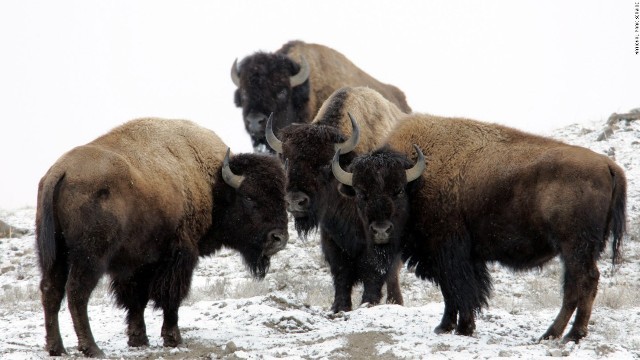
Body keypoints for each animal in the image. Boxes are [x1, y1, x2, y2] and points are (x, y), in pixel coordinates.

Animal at [36, 118, 292, 358]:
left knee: (51, 291)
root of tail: (61, 172)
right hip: (90, 258)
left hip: (55, 255)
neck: (212, 183)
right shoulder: (179, 256)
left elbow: (136, 300)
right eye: (249, 198)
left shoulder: (136, 264)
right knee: (76, 294)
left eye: (282, 195)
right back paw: (92, 348)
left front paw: (138, 339)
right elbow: (171, 298)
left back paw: (56, 348)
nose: (278, 238)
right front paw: (173, 339)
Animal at [268, 86, 408, 312]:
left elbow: (373, 270)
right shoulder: (331, 237)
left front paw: (367, 302)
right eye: (287, 160)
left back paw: (396, 302)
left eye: (325, 163)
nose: (295, 201)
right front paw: (339, 307)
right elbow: (341, 272)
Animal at [332, 114, 628, 342]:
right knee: (576, 286)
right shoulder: (459, 257)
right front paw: (450, 327)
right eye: (361, 194)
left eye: (398, 191)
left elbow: (458, 290)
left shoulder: (449, 254)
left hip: (575, 247)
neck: (419, 180)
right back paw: (555, 335)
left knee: (582, 283)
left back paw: (567, 335)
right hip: (577, 251)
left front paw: (458, 328)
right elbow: (457, 292)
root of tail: (608, 165)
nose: (381, 230)